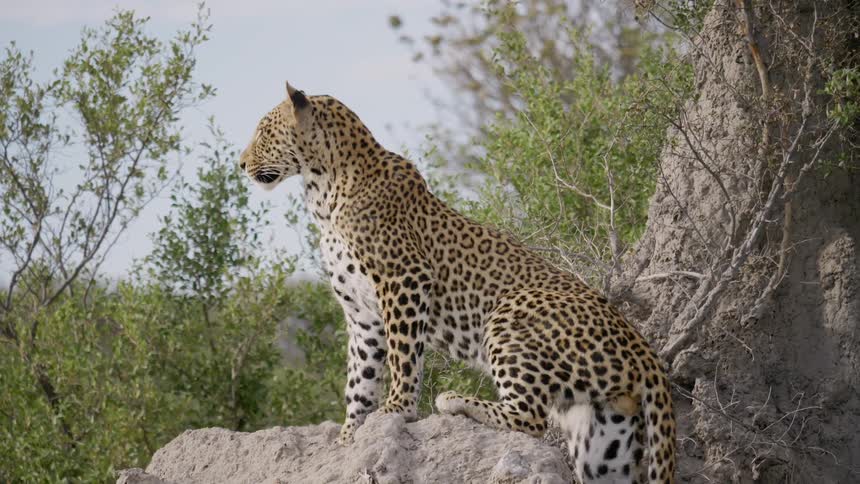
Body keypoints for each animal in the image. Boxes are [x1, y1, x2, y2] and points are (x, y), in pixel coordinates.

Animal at [239, 82, 677, 484]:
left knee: (530, 417)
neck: (323, 190)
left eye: (263, 131)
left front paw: (397, 409)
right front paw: (350, 437)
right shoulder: (362, 315)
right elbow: (359, 379)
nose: (241, 164)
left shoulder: (404, 279)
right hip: (604, 437)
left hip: (511, 313)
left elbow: (402, 356)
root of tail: (644, 351)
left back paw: (454, 401)